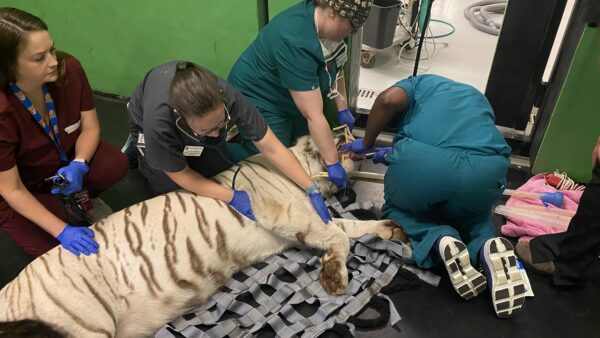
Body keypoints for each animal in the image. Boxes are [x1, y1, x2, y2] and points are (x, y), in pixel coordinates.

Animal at [0, 135, 408, 338]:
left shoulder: (305, 223)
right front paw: (335, 278)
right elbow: (339, 236)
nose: (364, 150)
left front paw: (391, 229)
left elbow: (347, 227)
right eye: (344, 145)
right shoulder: (291, 216)